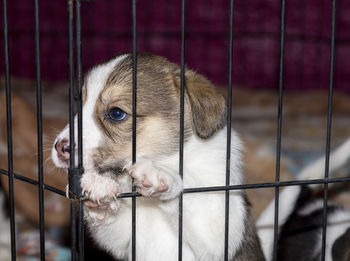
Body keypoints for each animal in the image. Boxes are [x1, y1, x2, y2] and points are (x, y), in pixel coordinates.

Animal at [51, 53, 266, 260]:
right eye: (78, 108)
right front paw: (99, 187)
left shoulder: (222, 225)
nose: (59, 148)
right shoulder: (124, 237)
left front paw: (159, 174)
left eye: (116, 113)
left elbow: (191, 193)